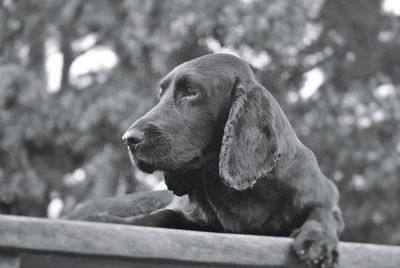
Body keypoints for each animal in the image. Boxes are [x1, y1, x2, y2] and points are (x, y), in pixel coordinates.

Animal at [69, 53, 344, 266]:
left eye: (191, 91)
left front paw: (316, 239)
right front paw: (111, 222)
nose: (128, 139)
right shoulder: (187, 214)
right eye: (161, 94)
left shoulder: (326, 197)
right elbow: (161, 216)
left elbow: (323, 212)